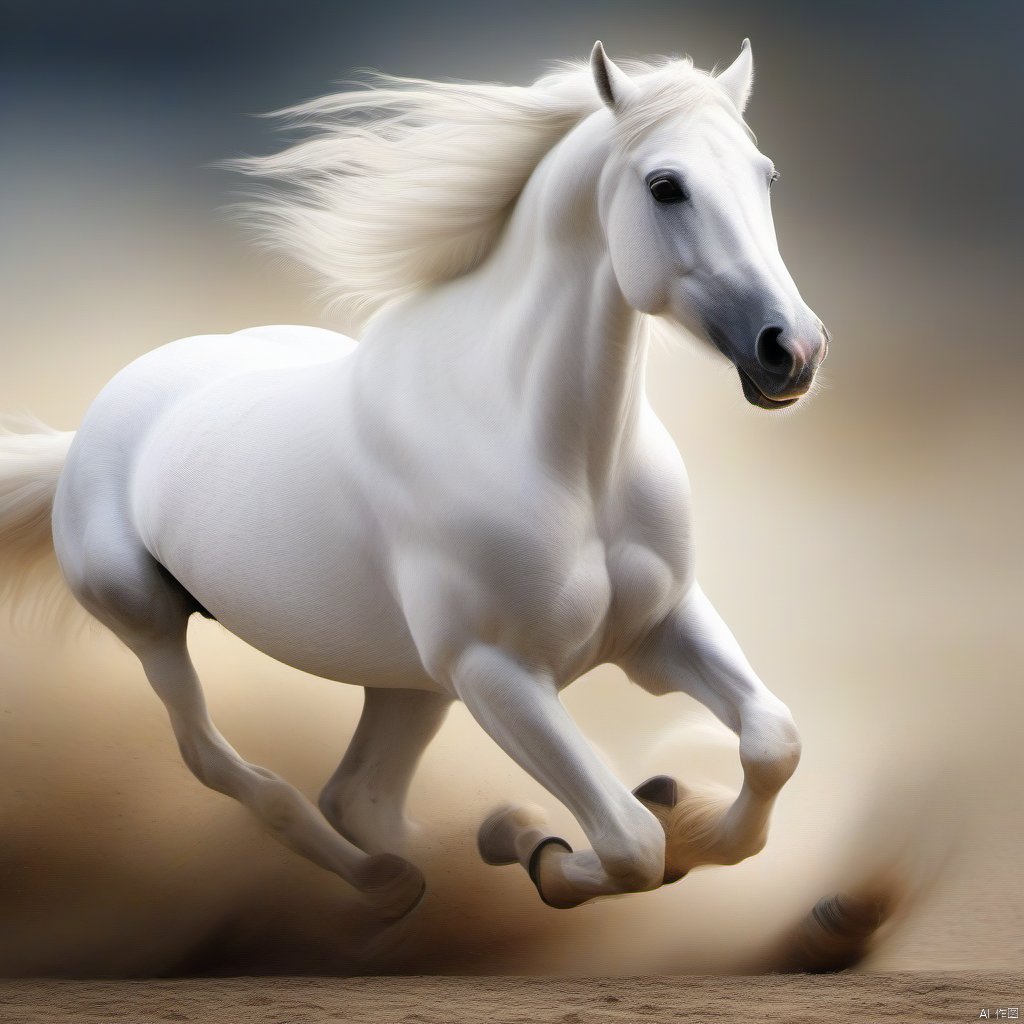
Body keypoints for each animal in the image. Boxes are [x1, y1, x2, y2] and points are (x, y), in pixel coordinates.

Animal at [0, 41, 827, 921]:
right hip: (148, 621)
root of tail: (89, 427)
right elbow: (631, 845)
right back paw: (391, 881)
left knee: (359, 795)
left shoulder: (658, 627)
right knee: (224, 763)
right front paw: (558, 854)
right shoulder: (496, 673)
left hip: (408, 682)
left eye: (766, 175)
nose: (793, 349)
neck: (564, 460)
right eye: (665, 185)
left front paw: (672, 819)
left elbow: (773, 743)